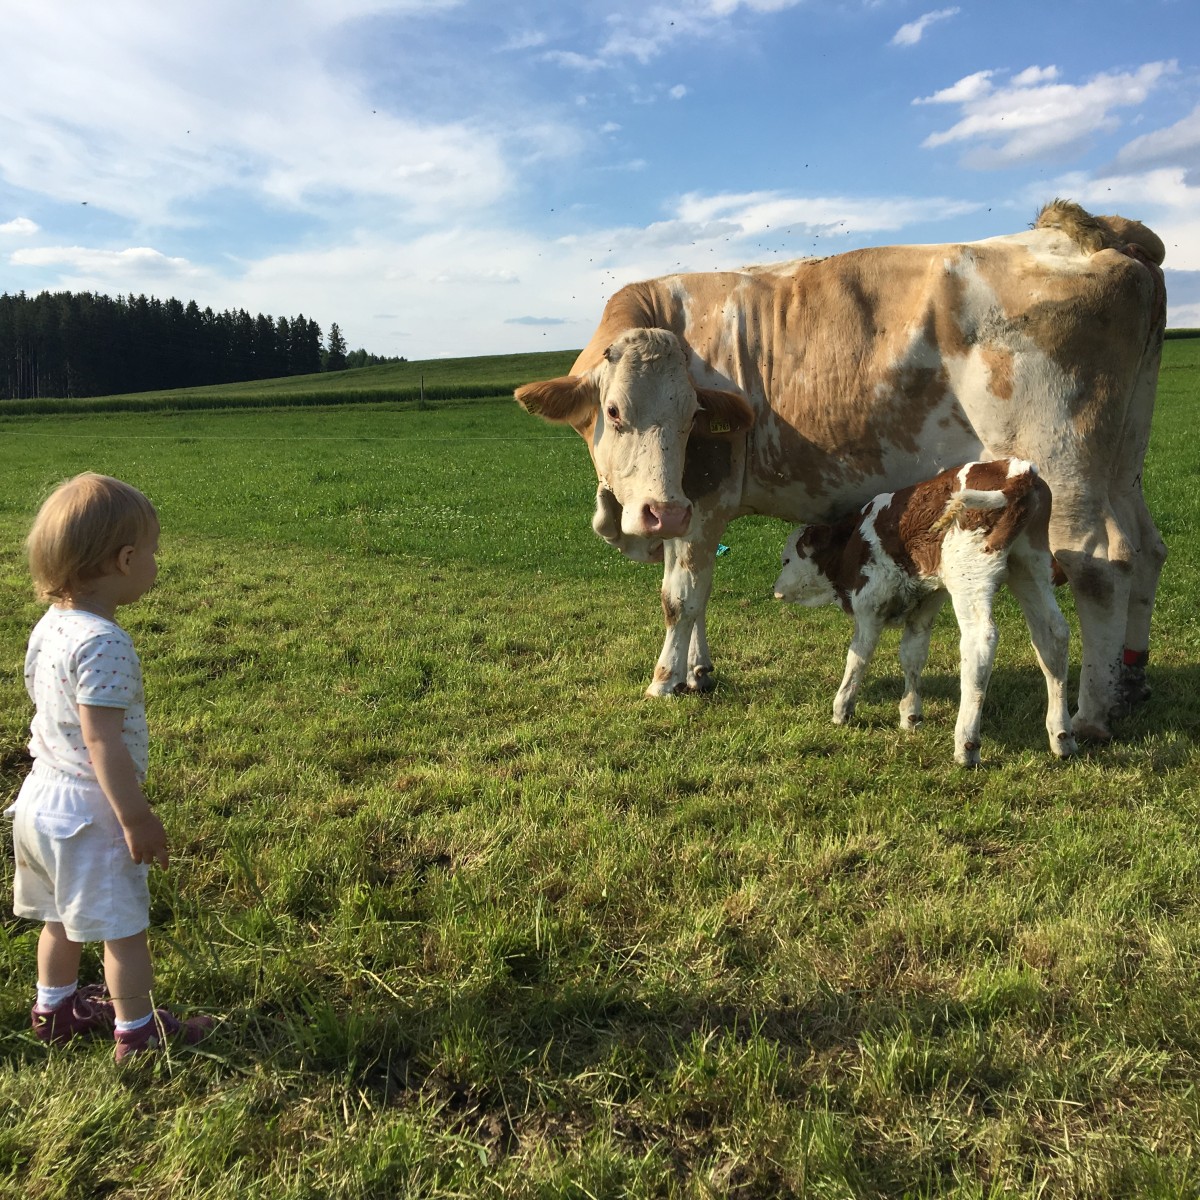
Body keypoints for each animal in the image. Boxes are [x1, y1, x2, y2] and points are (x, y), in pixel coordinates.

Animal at [513, 201, 1161, 734]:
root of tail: (1093, 234)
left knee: (1100, 565)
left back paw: (1089, 714)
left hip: (1065, 464)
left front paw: (665, 680)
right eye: (614, 412)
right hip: (1123, 460)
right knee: (1145, 549)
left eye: (691, 416)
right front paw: (698, 671)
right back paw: (1128, 682)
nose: (658, 510)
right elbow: (697, 588)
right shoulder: (683, 510)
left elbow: (682, 595)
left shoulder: (703, 500)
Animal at [772, 458, 1084, 768]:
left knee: (980, 641)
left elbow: (858, 656)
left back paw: (966, 744)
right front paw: (910, 716)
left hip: (970, 576)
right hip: (1030, 567)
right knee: (1052, 635)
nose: (775, 588)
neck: (852, 544)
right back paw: (1062, 737)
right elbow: (913, 655)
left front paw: (842, 709)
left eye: (786, 560)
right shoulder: (924, 606)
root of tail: (1018, 470)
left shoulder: (869, 605)